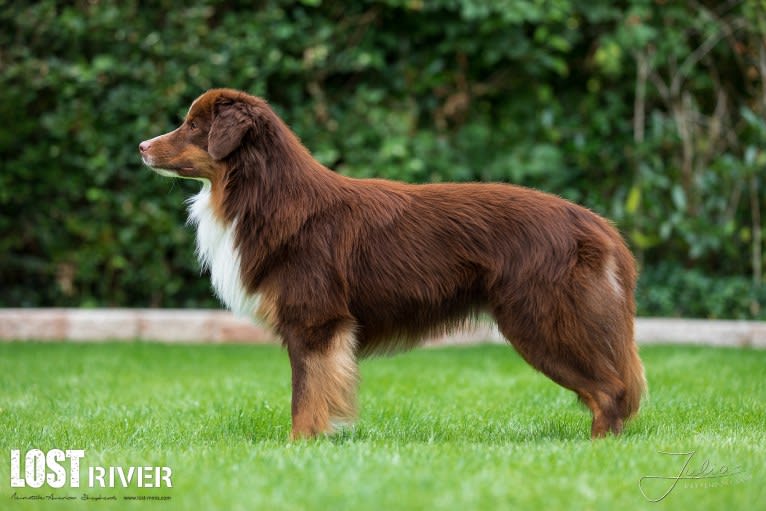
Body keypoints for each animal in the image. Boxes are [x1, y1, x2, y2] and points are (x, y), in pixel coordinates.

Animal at [140, 89, 648, 440]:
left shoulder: (315, 322)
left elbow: (305, 396)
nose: (142, 146)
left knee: (611, 390)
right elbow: (316, 392)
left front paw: (297, 448)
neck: (265, 194)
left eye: (192, 125)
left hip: (540, 321)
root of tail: (597, 225)